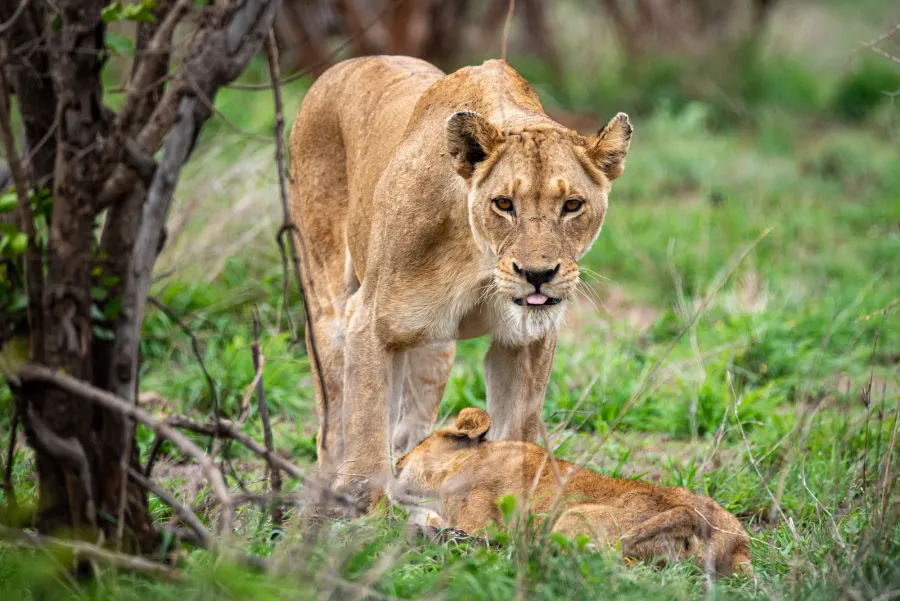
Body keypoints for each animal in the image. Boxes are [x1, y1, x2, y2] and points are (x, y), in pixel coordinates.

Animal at [289, 56, 632, 494]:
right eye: (503, 203)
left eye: (572, 205)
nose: (537, 274)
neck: (480, 264)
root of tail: (342, 66)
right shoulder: (367, 322)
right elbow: (366, 433)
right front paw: (363, 499)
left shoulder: (525, 342)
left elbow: (518, 433)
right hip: (329, 302)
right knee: (333, 421)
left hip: (434, 349)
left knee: (412, 421)